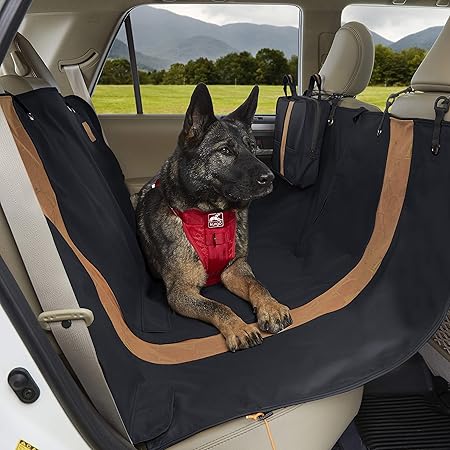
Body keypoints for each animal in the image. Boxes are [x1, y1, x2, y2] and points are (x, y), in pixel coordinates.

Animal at [137, 84, 292, 352]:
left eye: (253, 148)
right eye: (225, 150)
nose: (270, 178)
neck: (211, 215)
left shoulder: (234, 269)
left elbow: (257, 285)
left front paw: (271, 307)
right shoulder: (181, 292)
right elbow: (217, 306)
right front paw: (239, 327)